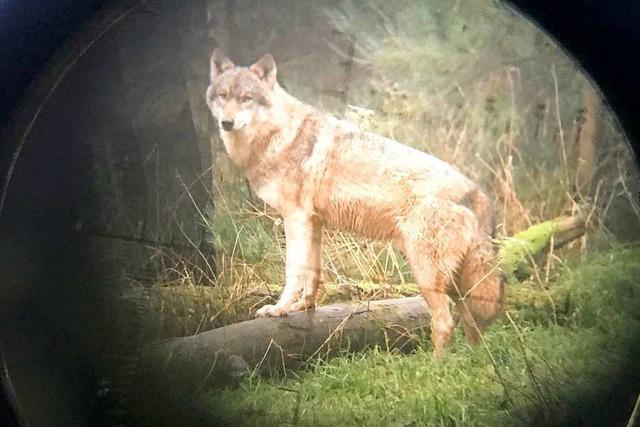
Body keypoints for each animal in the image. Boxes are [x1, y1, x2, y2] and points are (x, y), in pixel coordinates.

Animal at [205, 48, 504, 356]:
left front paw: (279, 309)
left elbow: (293, 272)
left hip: (427, 275)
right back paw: (473, 361)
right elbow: (313, 273)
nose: (226, 123)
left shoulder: (295, 219)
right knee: (473, 326)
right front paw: (304, 307)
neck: (279, 135)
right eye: (223, 96)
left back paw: (436, 365)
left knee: (445, 323)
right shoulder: (314, 222)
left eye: (247, 98)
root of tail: (477, 192)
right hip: (457, 285)